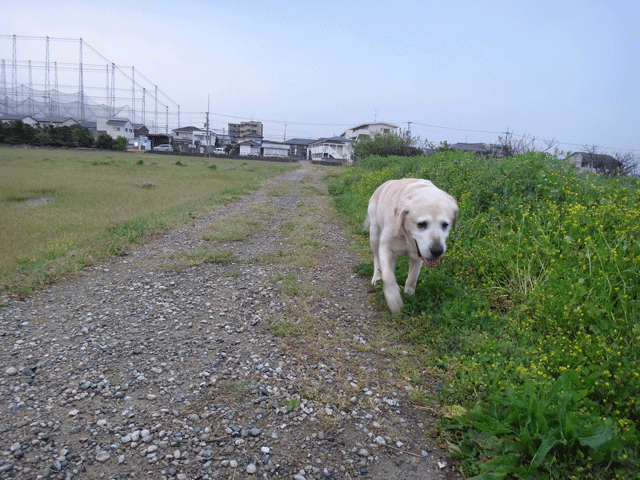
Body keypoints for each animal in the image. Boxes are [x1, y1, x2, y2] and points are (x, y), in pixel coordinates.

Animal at [362, 178, 458, 314]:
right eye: (421, 224)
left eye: (445, 225)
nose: (437, 251)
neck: (407, 237)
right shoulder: (385, 248)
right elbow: (388, 276)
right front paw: (393, 298)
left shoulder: (418, 256)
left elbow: (412, 277)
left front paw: (409, 293)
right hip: (374, 235)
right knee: (377, 261)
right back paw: (377, 277)